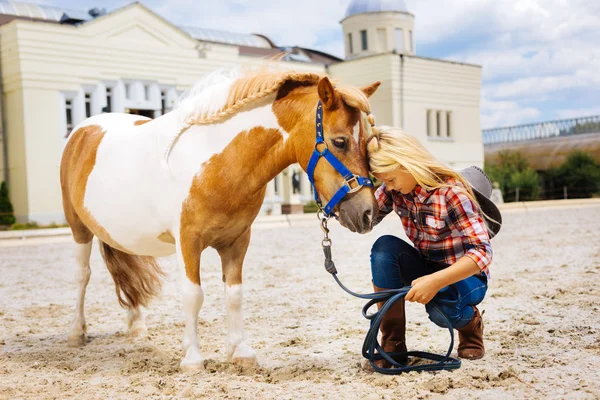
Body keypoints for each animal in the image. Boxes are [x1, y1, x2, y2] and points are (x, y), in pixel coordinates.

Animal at [59, 67, 380, 370]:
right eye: (340, 141)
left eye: (368, 142)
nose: (368, 213)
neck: (217, 163)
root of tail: (82, 131)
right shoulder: (187, 241)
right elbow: (193, 295)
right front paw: (192, 359)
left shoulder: (237, 241)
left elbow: (234, 294)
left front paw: (240, 353)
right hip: (78, 228)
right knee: (82, 276)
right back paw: (76, 334)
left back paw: (136, 326)